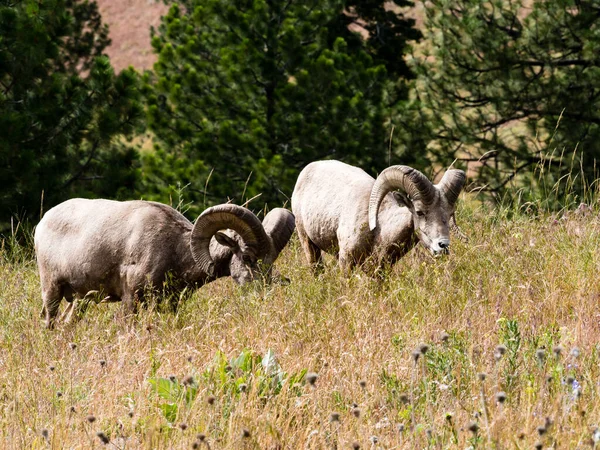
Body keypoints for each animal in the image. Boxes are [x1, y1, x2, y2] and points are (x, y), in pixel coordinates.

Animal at [34, 199, 294, 328]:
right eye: (248, 258)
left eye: (271, 261)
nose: (263, 294)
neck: (175, 250)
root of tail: (43, 222)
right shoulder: (130, 298)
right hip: (52, 290)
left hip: (80, 299)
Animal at [292, 161, 466, 270]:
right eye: (419, 212)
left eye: (450, 213)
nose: (443, 245)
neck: (378, 231)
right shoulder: (346, 262)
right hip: (307, 242)